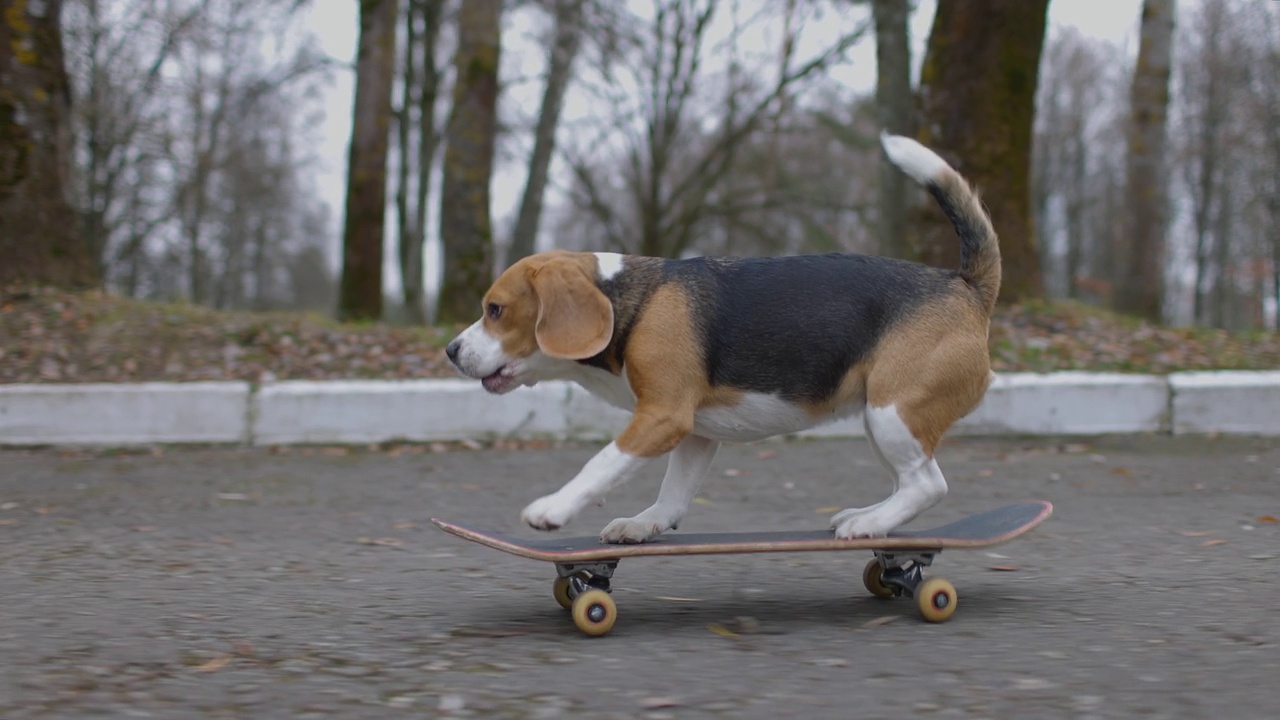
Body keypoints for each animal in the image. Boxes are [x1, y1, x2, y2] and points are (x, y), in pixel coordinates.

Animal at [450, 131, 998, 540]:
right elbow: (673, 492)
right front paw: (645, 524)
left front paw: (553, 508)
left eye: (495, 310)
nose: (451, 350)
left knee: (927, 485)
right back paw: (870, 515)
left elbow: (603, 462)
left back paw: (868, 523)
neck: (633, 300)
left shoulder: (662, 416)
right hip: (879, 416)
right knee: (910, 482)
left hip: (892, 411)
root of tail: (967, 286)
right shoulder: (694, 430)